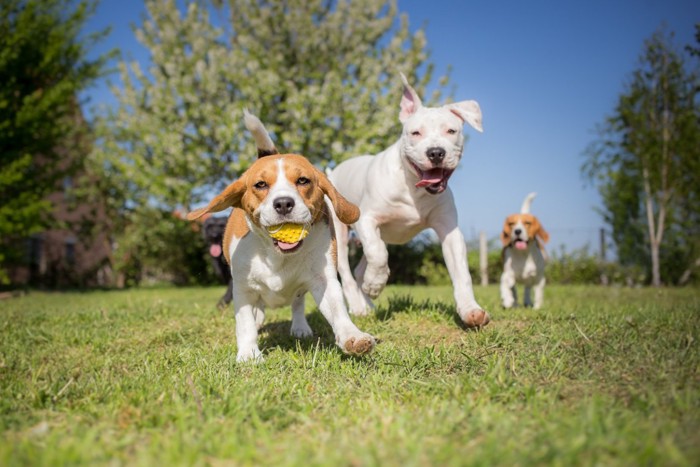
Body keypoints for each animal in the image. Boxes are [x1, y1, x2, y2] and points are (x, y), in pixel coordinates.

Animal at [185, 112, 372, 362]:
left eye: (303, 180)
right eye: (260, 184)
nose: (283, 203)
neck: (276, 254)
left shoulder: (323, 279)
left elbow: (338, 311)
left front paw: (353, 337)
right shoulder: (242, 287)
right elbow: (244, 322)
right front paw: (249, 354)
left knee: (298, 303)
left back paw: (300, 327)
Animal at [330, 73, 490, 330]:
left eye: (451, 131)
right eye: (415, 133)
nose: (436, 152)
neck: (414, 189)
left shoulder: (449, 231)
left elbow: (461, 273)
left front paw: (470, 310)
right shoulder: (367, 219)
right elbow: (378, 253)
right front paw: (375, 284)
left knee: (359, 268)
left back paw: (368, 303)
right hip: (341, 230)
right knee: (347, 269)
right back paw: (359, 305)